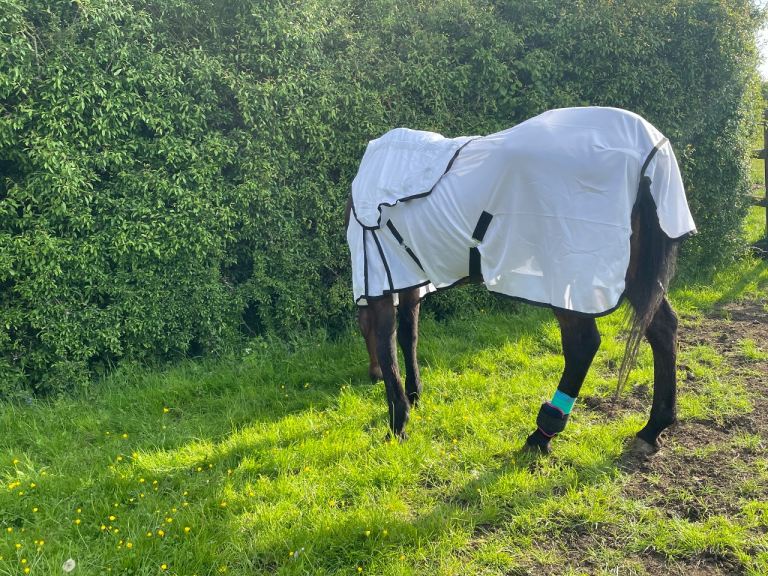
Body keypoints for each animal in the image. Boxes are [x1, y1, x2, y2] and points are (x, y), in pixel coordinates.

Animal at [345, 107, 696, 454]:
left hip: (568, 277)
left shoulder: (378, 280)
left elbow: (386, 345)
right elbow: (408, 336)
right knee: (663, 328)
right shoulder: (406, 278)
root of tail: (646, 147)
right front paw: (414, 397)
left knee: (583, 345)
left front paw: (397, 424)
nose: (370, 376)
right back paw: (653, 427)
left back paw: (541, 435)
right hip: (634, 273)